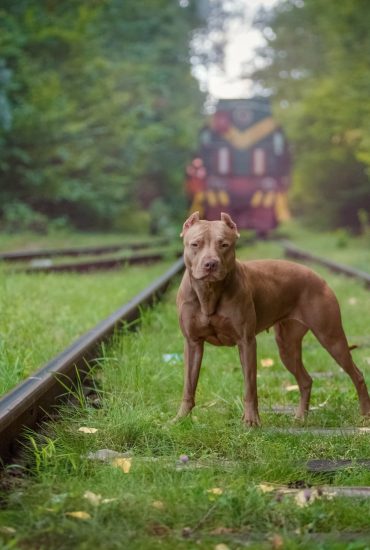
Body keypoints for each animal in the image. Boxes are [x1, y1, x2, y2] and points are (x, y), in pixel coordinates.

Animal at [176, 211, 370, 426]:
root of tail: (317, 276)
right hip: (287, 347)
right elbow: (189, 385)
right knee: (306, 380)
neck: (209, 293)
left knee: (357, 375)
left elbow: (250, 387)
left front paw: (251, 421)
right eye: (195, 244)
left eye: (224, 244)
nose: (210, 263)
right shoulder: (192, 343)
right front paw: (180, 419)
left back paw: (364, 415)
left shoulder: (246, 342)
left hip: (331, 338)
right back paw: (300, 417)